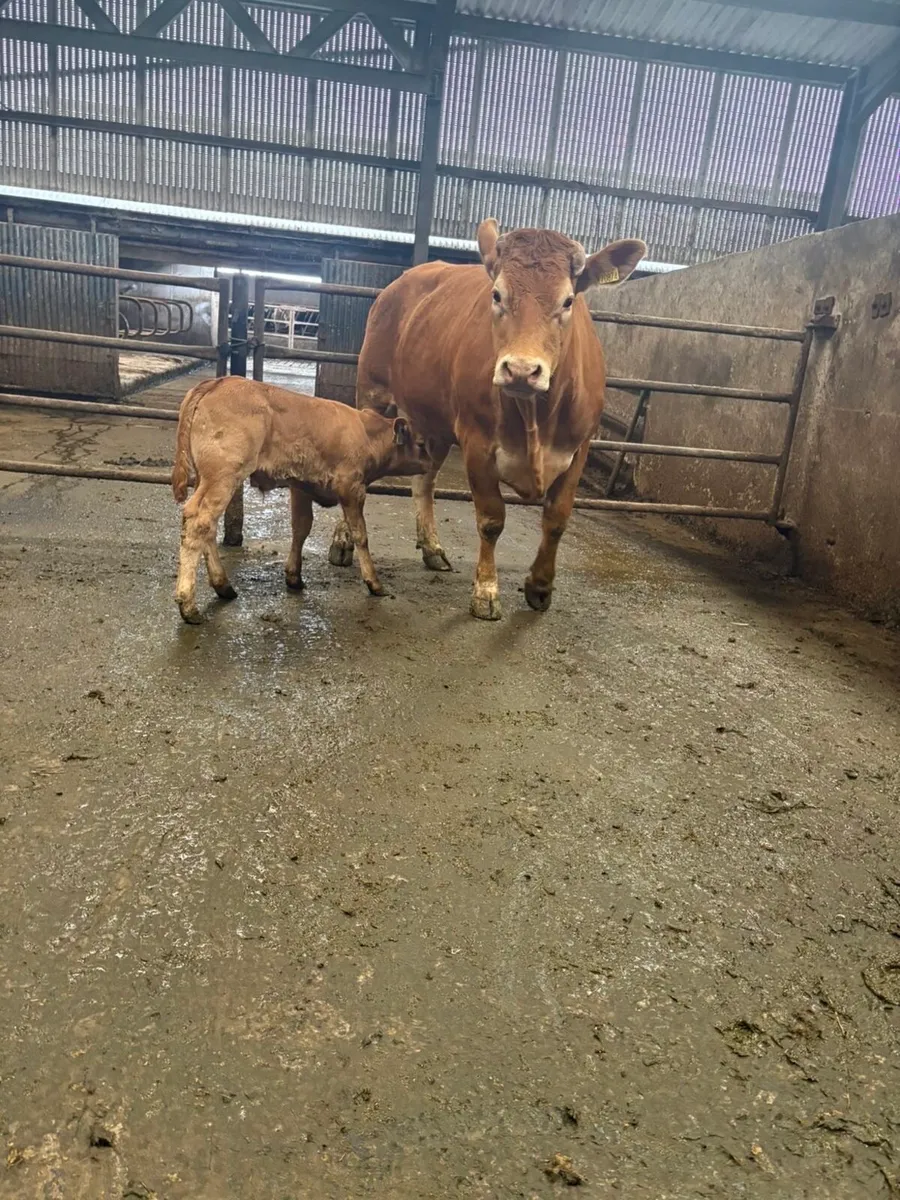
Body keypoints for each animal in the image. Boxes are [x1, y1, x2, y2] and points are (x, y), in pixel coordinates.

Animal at [171, 377, 431, 624]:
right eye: (421, 444)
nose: (431, 464)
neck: (366, 433)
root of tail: (217, 382)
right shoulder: (351, 487)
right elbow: (360, 534)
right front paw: (374, 583)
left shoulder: (301, 486)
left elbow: (301, 528)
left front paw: (294, 576)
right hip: (223, 476)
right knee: (199, 521)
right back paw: (189, 606)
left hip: (207, 478)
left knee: (207, 526)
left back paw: (223, 586)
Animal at [328, 221, 646, 619]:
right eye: (497, 295)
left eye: (568, 301)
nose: (521, 370)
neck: (535, 419)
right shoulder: (477, 442)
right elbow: (492, 520)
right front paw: (486, 591)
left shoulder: (580, 448)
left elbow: (557, 519)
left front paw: (540, 586)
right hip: (372, 391)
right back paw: (342, 542)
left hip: (433, 420)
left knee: (424, 481)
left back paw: (431, 547)